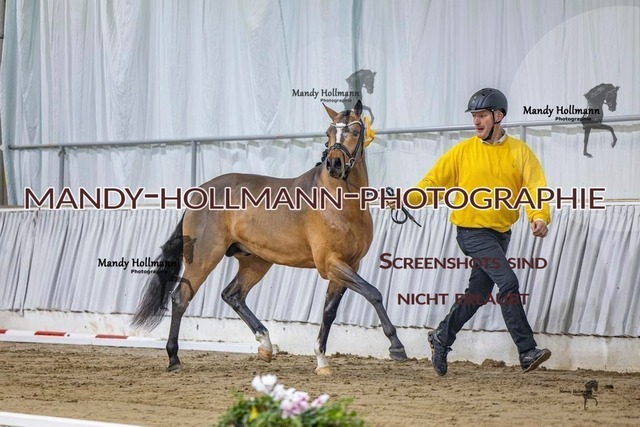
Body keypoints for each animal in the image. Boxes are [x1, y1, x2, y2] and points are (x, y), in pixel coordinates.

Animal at [131, 100, 408, 375]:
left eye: (355, 131)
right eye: (329, 132)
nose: (334, 164)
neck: (339, 203)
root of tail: (198, 193)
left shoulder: (349, 264)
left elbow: (329, 311)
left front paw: (321, 361)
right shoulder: (329, 263)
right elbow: (373, 292)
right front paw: (396, 346)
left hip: (256, 261)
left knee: (233, 295)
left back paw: (265, 345)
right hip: (204, 258)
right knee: (181, 298)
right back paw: (174, 358)